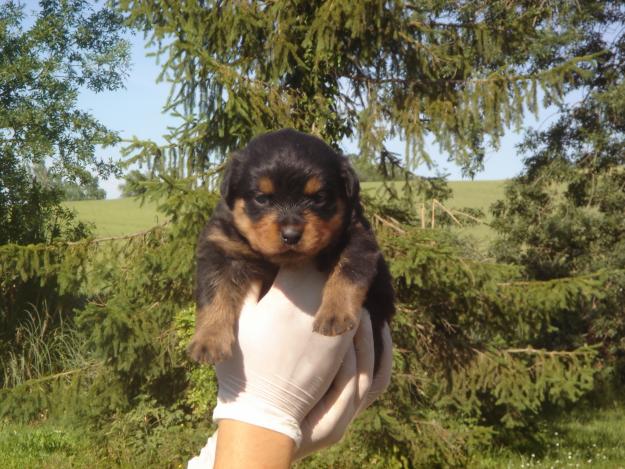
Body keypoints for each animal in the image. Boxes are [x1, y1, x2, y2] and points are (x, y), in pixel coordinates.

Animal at [186, 128, 394, 372]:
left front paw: (335, 315)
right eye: (261, 198)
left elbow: (347, 274)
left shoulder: (358, 238)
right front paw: (209, 340)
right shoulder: (219, 248)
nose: (291, 235)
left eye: (319, 197)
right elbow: (214, 293)